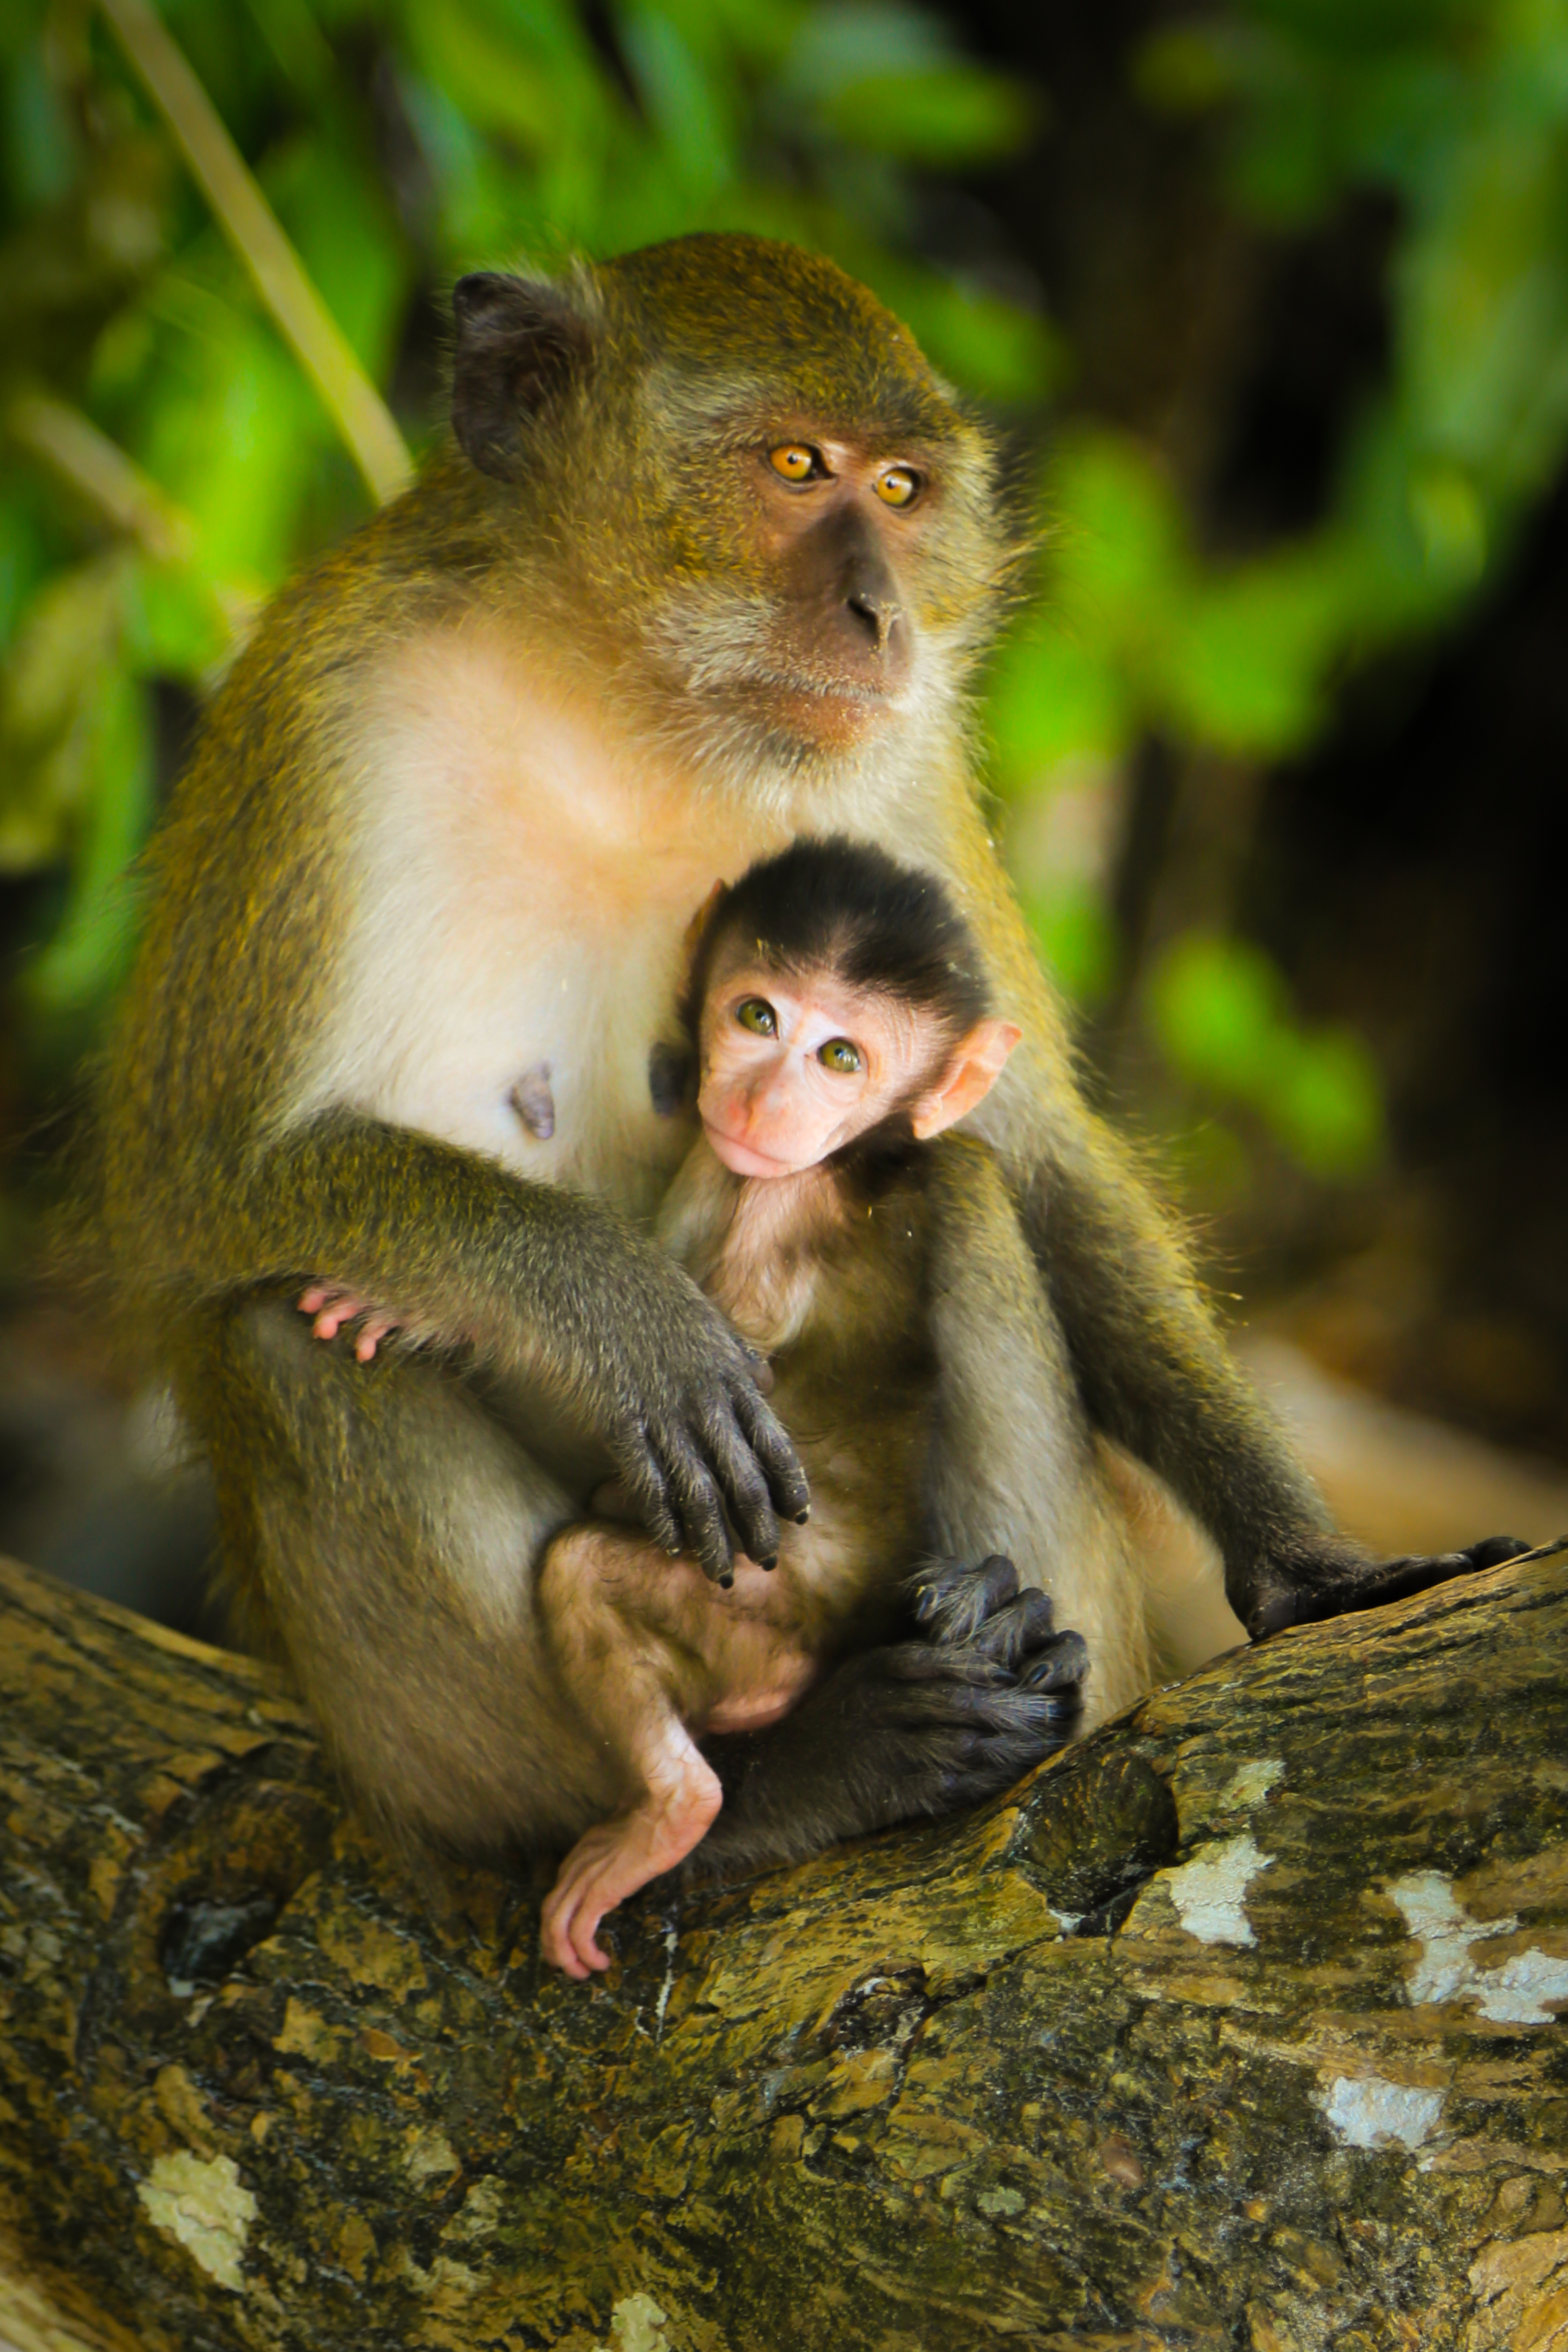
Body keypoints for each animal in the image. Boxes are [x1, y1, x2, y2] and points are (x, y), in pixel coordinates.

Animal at [95, 233, 1504, 1853]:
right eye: (792, 465)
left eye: (899, 490)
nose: (883, 615)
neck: (624, 707)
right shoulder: (319, 710)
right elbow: (196, 1185)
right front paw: (614, 1308)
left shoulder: (897, 762)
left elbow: (1029, 1158)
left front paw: (1307, 1565)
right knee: (282, 1332)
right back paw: (741, 1809)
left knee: (963, 1195)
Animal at [303, 847, 1114, 1985]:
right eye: (756, 1015)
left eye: (841, 1055)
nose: (765, 1099)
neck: (827, 1171)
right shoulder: (718, 1162)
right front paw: (413, 1304)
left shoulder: (765, 1203)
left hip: (760, 1609)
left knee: (587, 1571)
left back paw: (679, 1809)